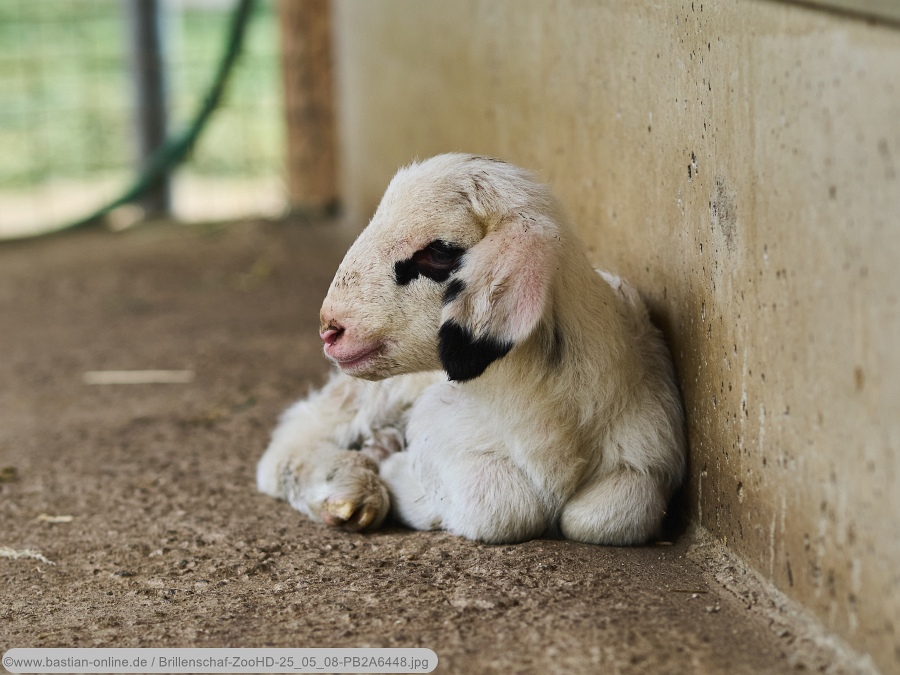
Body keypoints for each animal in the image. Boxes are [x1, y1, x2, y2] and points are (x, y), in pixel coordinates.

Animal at [257, 153, 686, 545]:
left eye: (439, 252)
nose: (330, 330)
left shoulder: (646, 461)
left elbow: (606, 515)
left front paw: (390, 458)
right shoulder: (438, 424)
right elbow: (503, 507)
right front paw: (397, 473)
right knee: (295, 438)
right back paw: (350, 488)